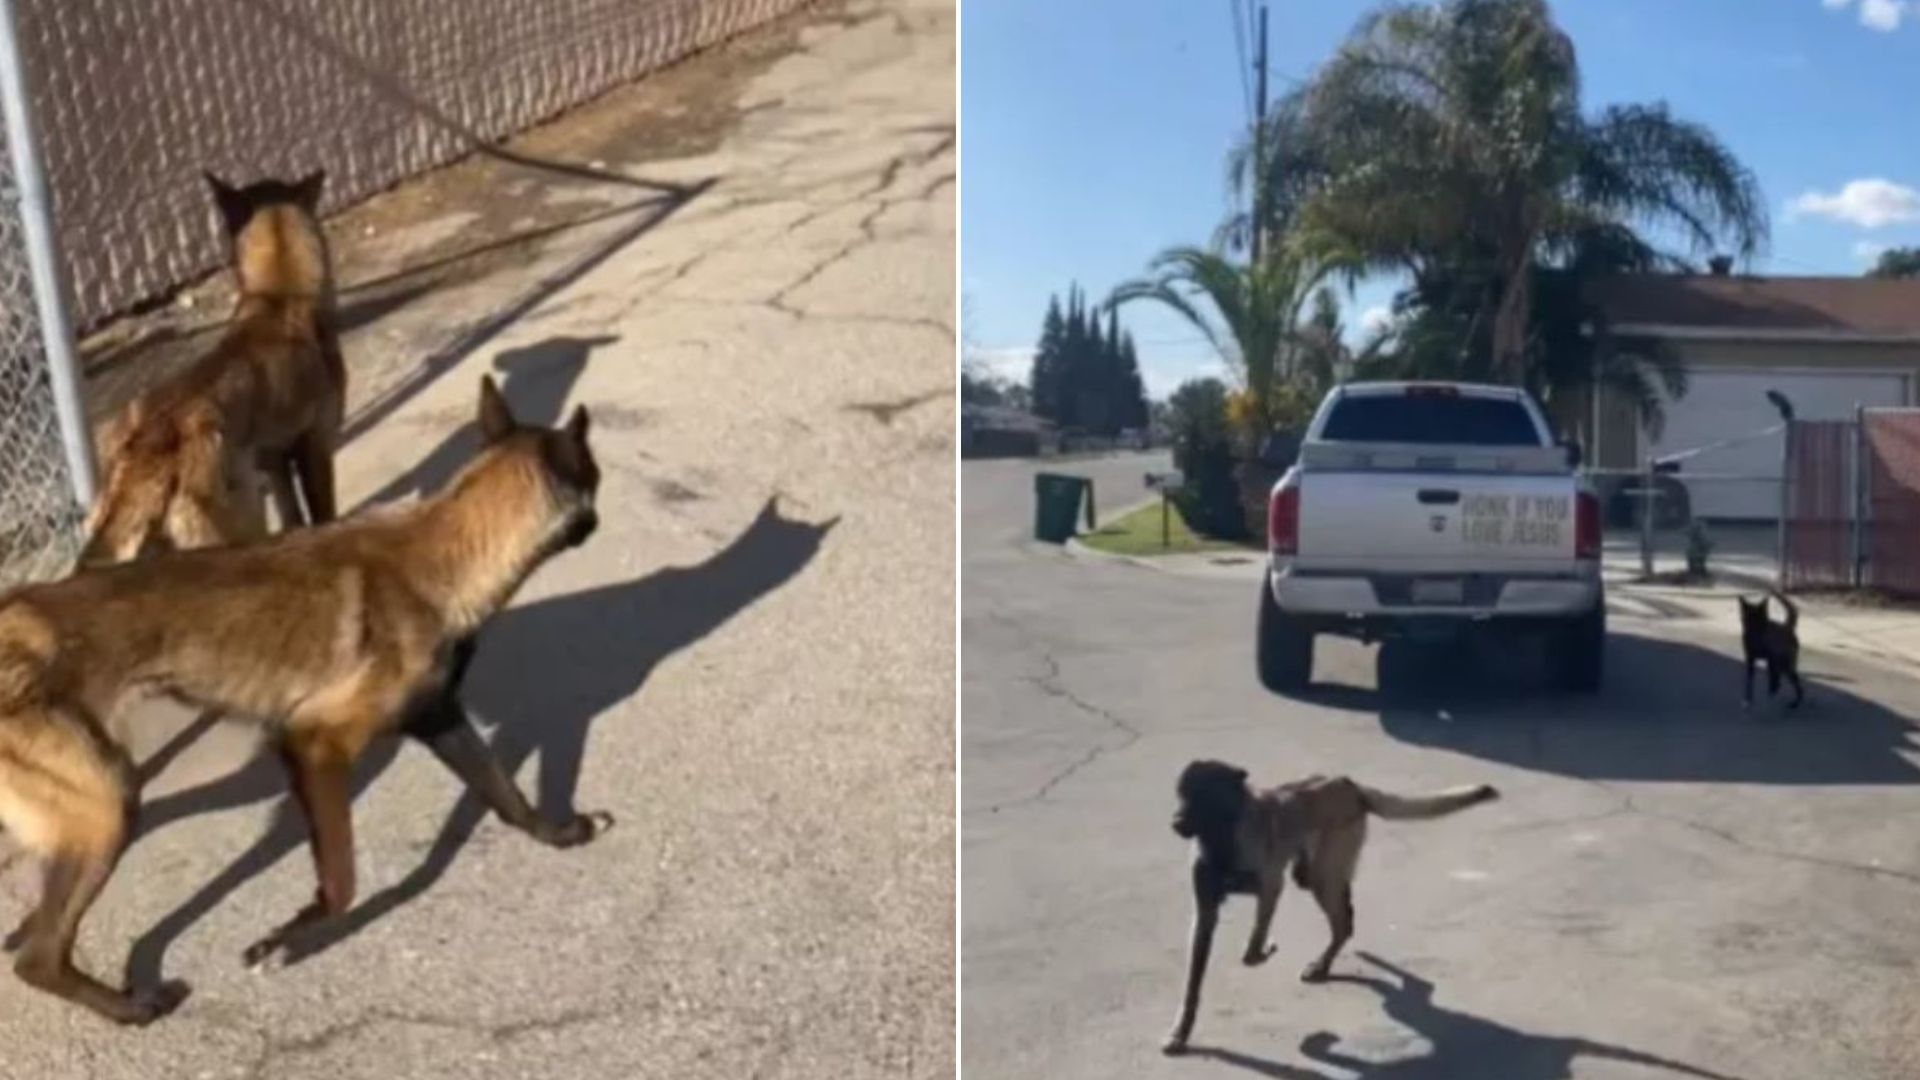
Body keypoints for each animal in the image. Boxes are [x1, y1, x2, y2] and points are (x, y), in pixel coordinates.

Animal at [0, 374, 602, 1022]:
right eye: (594, 477)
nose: (596, 521)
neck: (447, 555)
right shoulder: (313, 744)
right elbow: (342, 882)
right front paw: (285, 940)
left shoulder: (440, 718)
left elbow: (506, 794)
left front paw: (559, 833)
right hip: (111, 803)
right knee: (39, 958)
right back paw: (129, 1007)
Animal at [81, 170, 345, 564]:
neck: (278, 297)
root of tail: (150, 449)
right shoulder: (317, 448)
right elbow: (324, 516)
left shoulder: (274, 463)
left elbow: (294, 518)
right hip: (242, 525)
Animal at [1152, 757, 1497, 1053]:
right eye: (1181, 795)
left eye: (1204, 796)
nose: (1175, 823)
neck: (1222, 837)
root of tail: (1349, 784)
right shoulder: (1205, 913)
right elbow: (1192, 983)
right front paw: (1181, 1032)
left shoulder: (1270, 888)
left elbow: (1252, 949)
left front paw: (1266, 949)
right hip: (1314, 875)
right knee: (1346, 915)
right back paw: (1326, 963)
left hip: (1322, 874)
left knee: (1344, 921)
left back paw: (1322, 964)